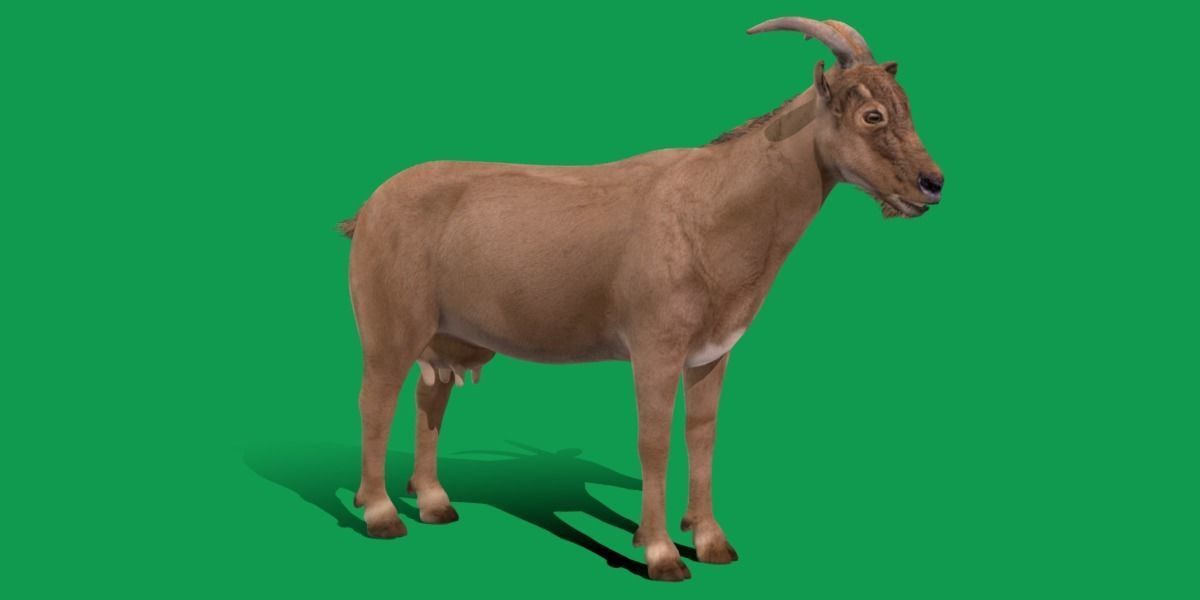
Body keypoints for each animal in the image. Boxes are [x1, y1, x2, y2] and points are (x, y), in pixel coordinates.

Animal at [340, 16, 943, 581]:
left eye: (904, 106)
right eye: (873, 115)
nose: (932, 183)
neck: (712, 207)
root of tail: (367, 211)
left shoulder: (712, 353)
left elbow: (703, 435)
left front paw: (711, 541)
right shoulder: (655, 349)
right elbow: (653, 439)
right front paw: (660, 554)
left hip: (445, 334)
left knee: (430, 396)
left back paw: (435, 503)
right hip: (390, 328)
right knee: (375, 401)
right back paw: (382, 515)